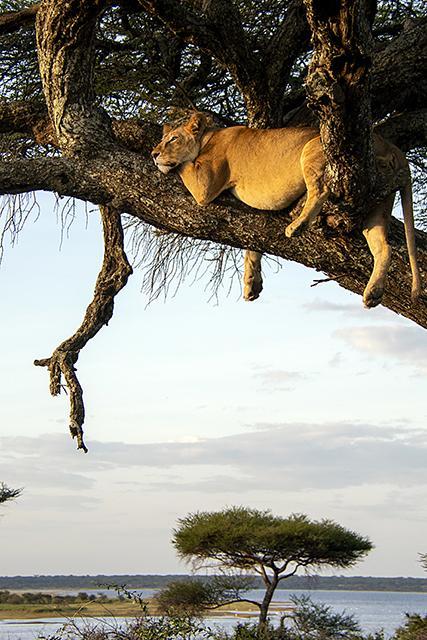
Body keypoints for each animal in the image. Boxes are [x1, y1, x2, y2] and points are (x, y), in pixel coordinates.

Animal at [151, 111, 421, 308]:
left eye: (172, 139)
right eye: (163, 139)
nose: (154, 153)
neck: (208, 137)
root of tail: (389, 145)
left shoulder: (204, 185)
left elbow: (183, 165)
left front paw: (166, 163)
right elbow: (253, 243)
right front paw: (251, 283)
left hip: (312, 148)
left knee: (320, 189)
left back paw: (297, 226)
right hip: (377, 206)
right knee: (384, 247)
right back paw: (373, 293)